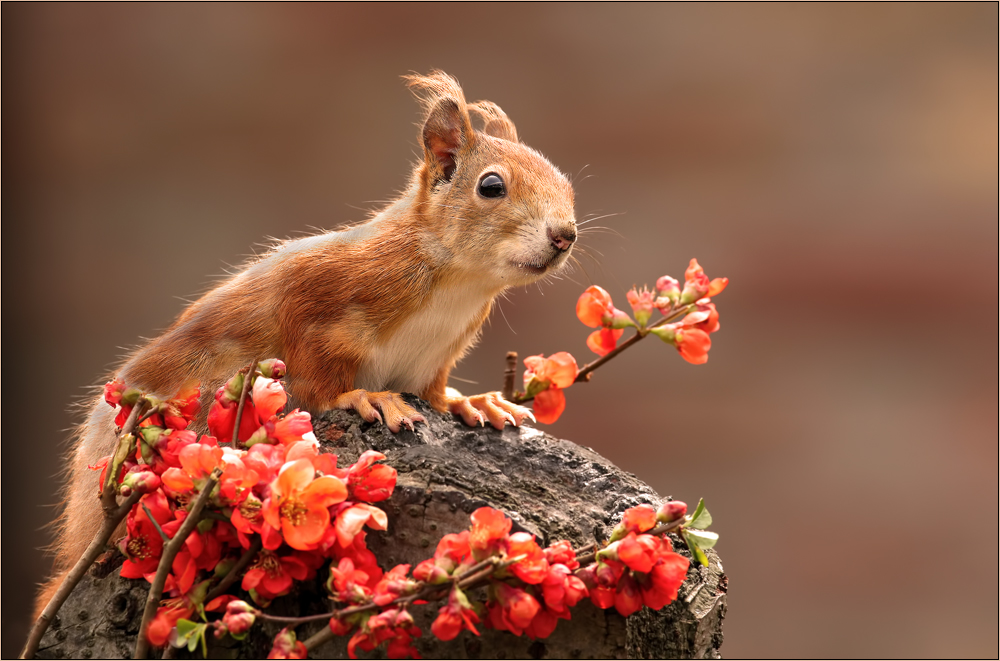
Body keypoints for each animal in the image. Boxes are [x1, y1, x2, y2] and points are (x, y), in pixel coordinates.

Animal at [35, 71, 580, 612]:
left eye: (567, 183)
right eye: (491, 186)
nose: (564, 235)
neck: (459, 284)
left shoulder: (434, 359)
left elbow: (435, 393)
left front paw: (474, 402)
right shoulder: (317, 302)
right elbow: (317, 378)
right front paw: (365, 397)